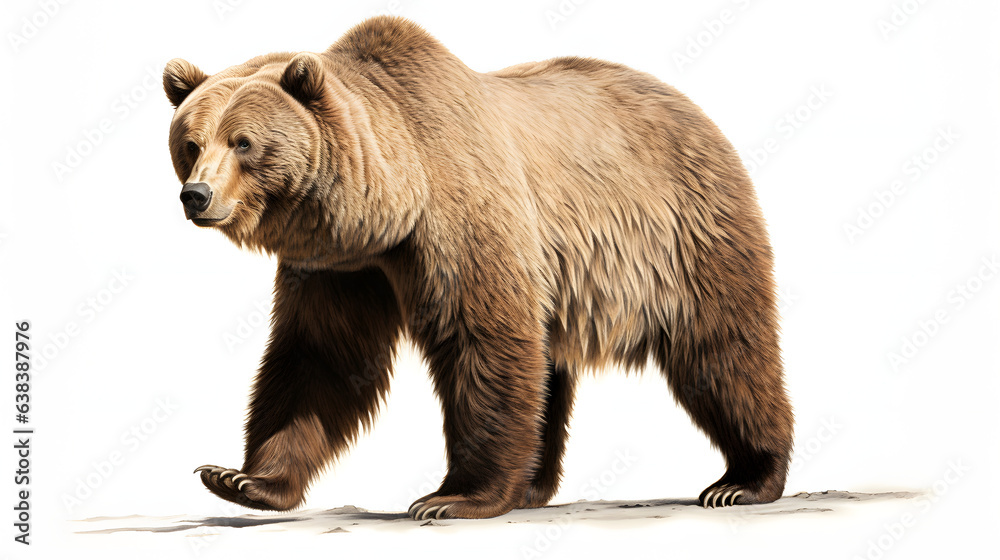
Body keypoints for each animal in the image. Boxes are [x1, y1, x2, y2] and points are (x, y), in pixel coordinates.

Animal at [164, 16, 793, 520]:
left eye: (243, 142)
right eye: (191, 143)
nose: (196, 195)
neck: (386, 206)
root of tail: (691, 106)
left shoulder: (456, 213)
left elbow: (480, 337)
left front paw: (452, 497)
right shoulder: (338, 267)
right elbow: (320, 355)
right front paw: (239, 478)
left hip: (684, 231)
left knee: (721, 347)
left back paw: (743, 480)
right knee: (552, 365)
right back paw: (533, 485)